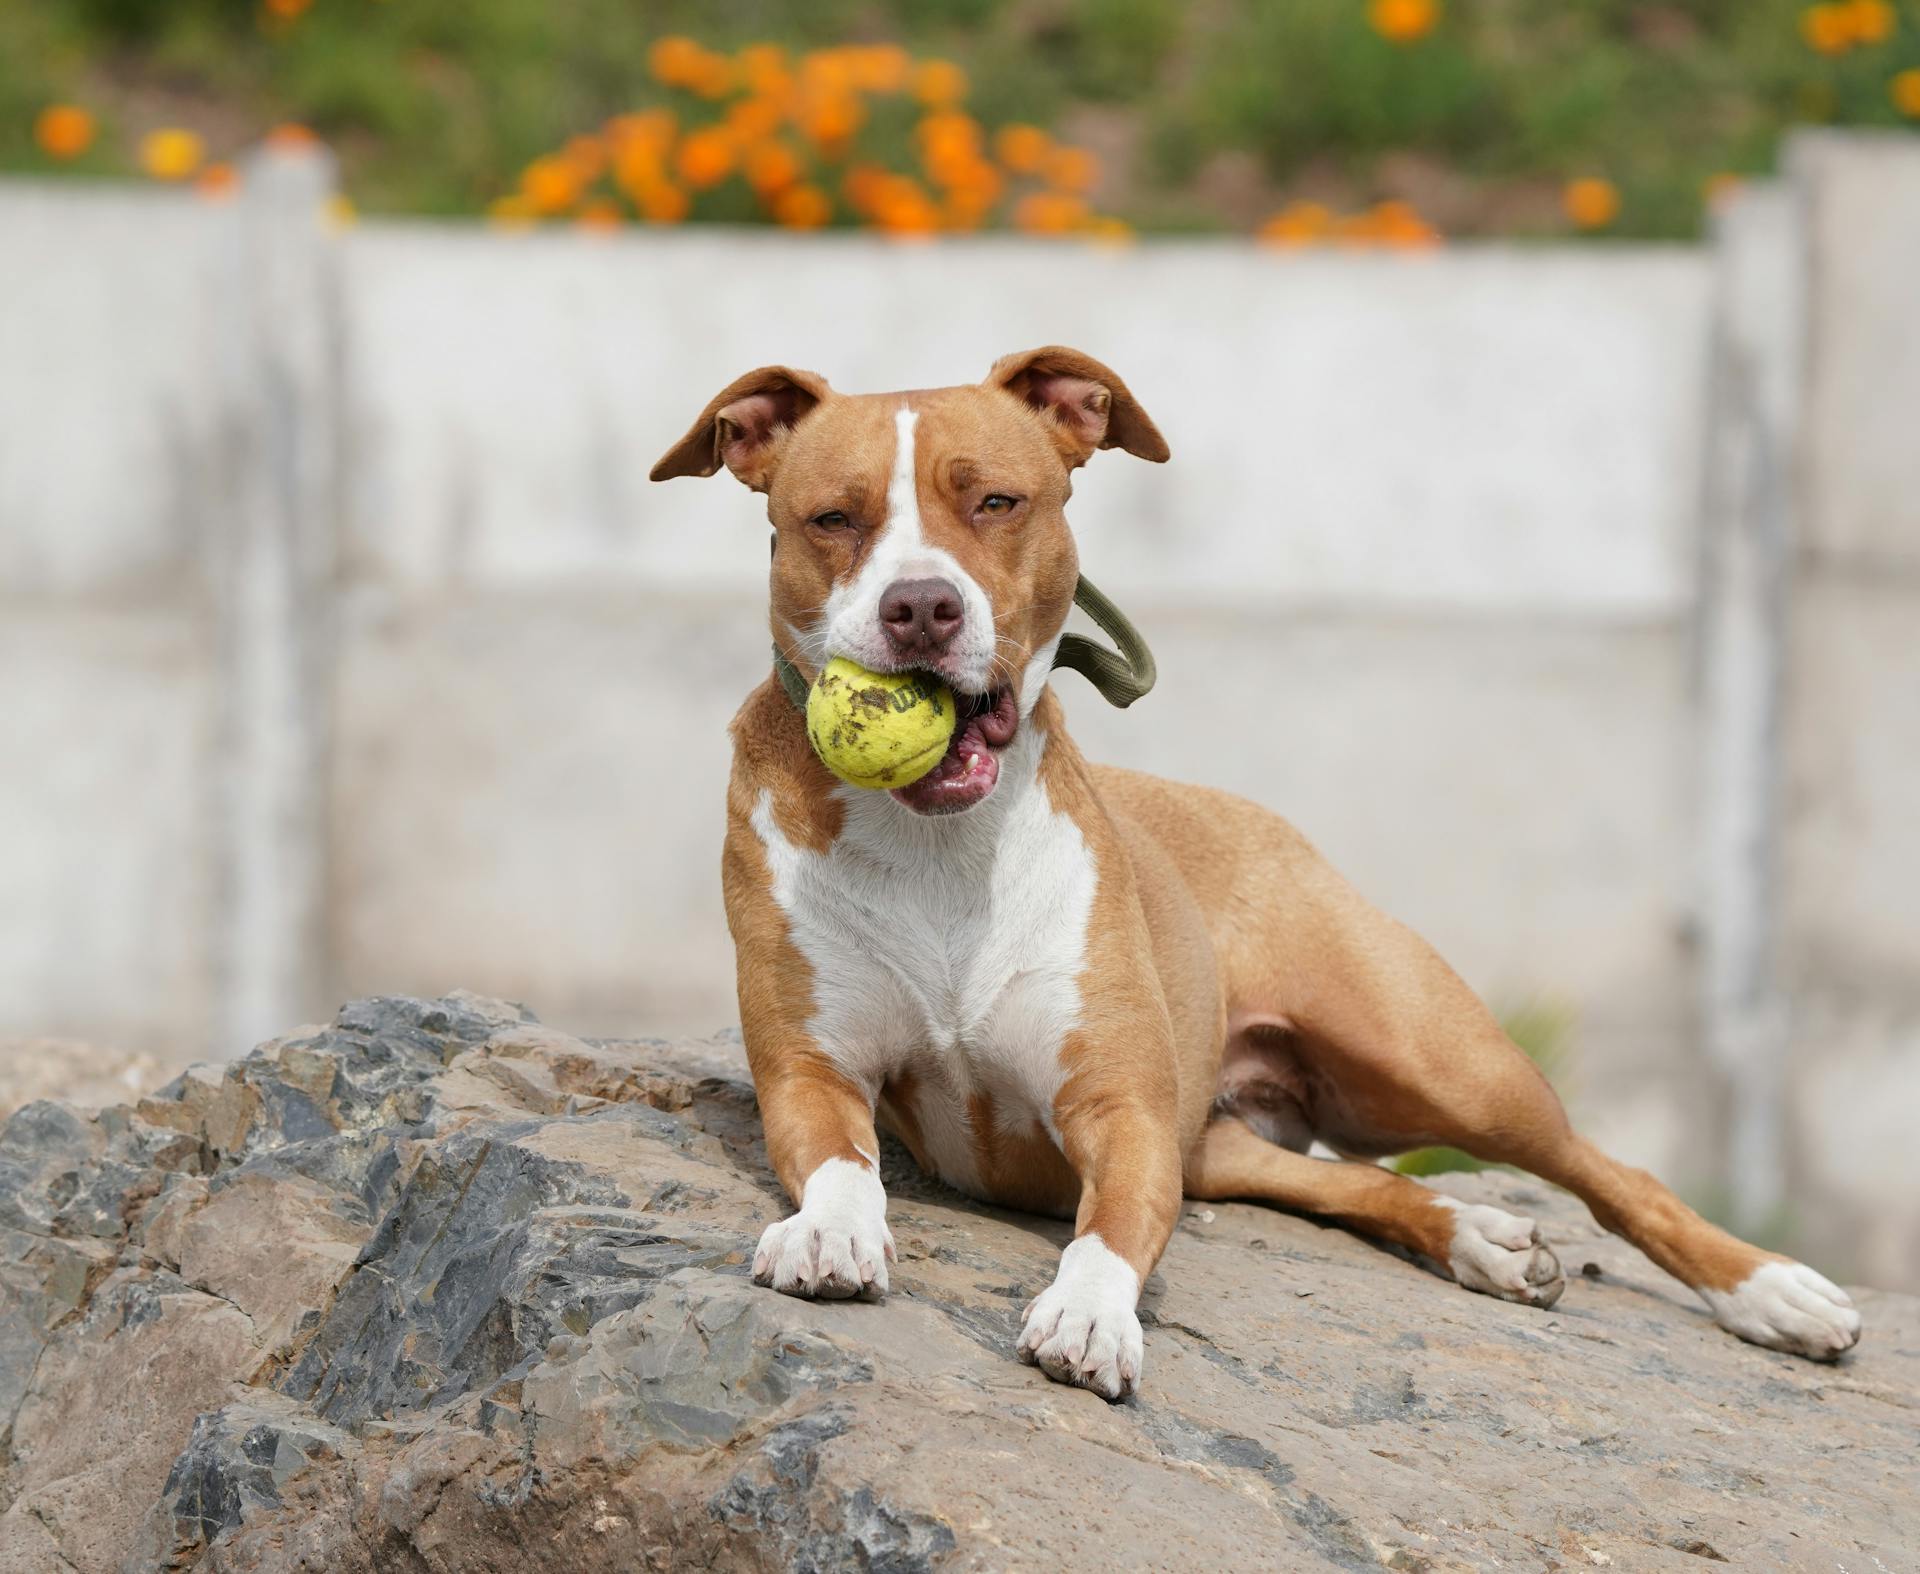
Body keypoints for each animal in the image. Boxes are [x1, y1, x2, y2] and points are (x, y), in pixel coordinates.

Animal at [652, 347, 1866, 1405]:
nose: (919, 606)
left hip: (1437, 1061)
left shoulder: (1126, 1110)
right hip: (1229, 1140)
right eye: (833, 518)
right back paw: (1477, 1235)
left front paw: (1090, 1315)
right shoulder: (812, 1071)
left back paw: (1779, 1294)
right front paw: (832, 1229)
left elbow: (1107, 1234)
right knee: (1357, 1179)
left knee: (1613, 1173)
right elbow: (839, 1160)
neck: (943, 845)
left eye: (997, 501)